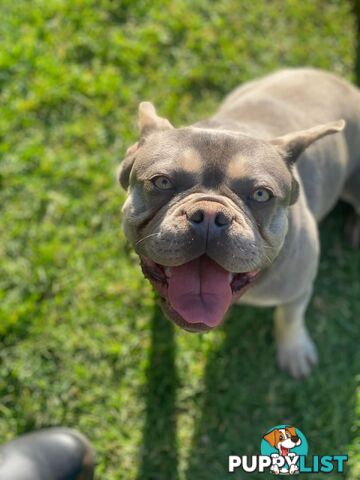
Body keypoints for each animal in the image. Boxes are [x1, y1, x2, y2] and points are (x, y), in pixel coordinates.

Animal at [119, 67, 360, 376]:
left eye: (261, 194)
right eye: (161, 182)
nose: (210, 215)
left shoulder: (298, 288)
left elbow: (289, 316)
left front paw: (294, 351)